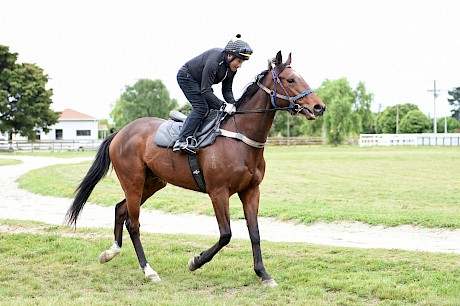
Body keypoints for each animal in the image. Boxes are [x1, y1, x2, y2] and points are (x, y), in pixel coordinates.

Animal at [64, 50, 326, 286]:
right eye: (290, 80)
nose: (319, 107)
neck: (240, 137)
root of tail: (120, 133)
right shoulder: (218, 192)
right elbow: (226, 234)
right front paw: (195, 261)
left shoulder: (251, 191)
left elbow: (255, 232)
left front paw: (263, 274)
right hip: (133, 182)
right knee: (134, 223)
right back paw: (149, 270)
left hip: (152, 183)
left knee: (120, 210)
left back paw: (111, 253)